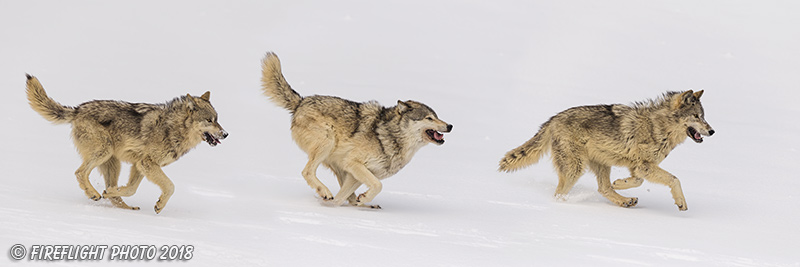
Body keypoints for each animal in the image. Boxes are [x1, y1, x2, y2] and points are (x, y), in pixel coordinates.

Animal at [26, 74, 227, 215]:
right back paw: (93, 193)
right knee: (79, 172)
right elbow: (170, 186)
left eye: (217, 120)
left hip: (113, 162)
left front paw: (111, 192)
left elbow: (130, 189)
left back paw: (121, 205)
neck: (174, 128)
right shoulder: (147, 163)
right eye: (209, 120)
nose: (226, 134)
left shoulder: (139, 165)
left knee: (110, 192)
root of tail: (77, 110)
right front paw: (160, 205)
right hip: (104, 151)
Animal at [260, 52, 454, 209]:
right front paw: (359, 199)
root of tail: (301, 101)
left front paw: (352, 203)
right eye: (429, 118)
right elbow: (377, 185)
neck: (391, 136)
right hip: (327, 143)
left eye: (436, 116)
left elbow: (344, 196)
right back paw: (325, 192)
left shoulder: (354, 172)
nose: (450, 126)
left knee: (345, 196)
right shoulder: (353, 163)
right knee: (307, 172)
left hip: (338, 164)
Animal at [496, 92, 716, 211]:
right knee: (559, 194)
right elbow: (674, 179)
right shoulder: (644, 166)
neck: (659, 126)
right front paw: (681, 203)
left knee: (602, 188)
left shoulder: (638, 167)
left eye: (704, 116)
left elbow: (637, 180)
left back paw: (625, 201)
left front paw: (620, 184)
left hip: (602, 163)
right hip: (575, 168)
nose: (712, 131)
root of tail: (552, 119)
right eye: (697, 116)